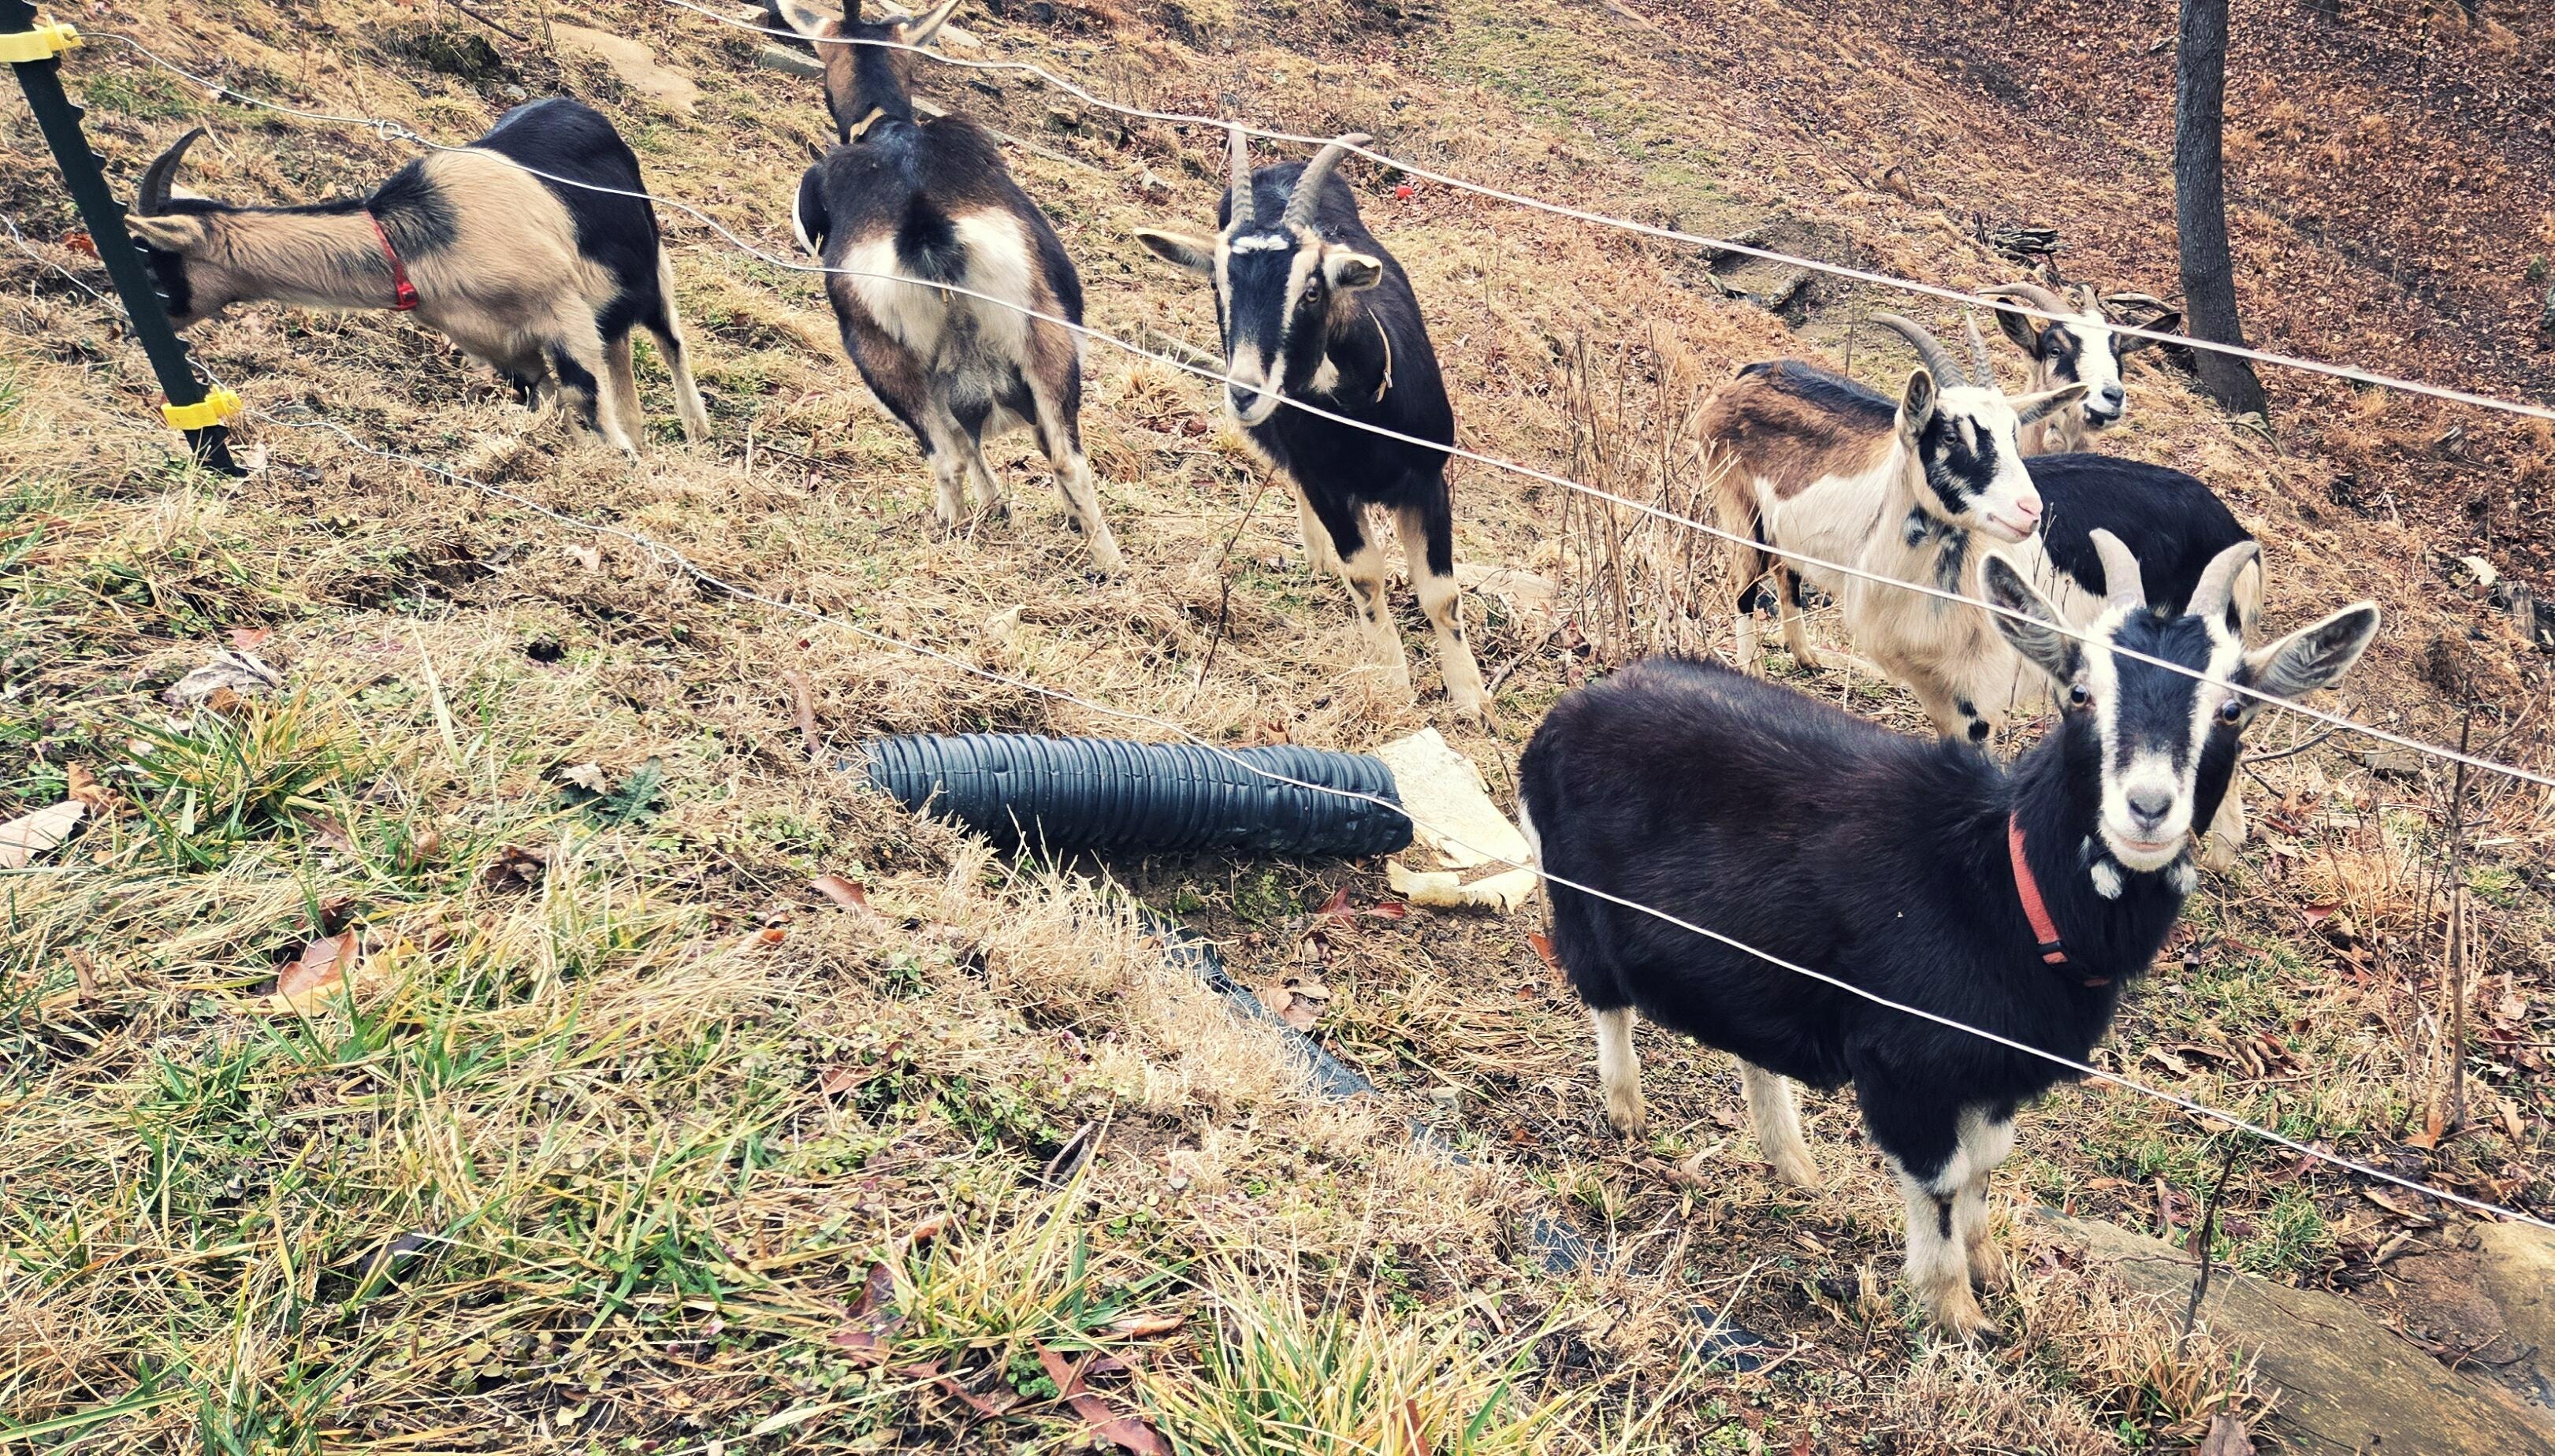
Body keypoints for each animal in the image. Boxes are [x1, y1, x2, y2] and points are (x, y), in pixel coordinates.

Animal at [124, 100, 708, 455]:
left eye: (151, 263)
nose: (139, 326)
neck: (417, 240)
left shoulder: (562, 312)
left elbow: (584, 399)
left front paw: (619, 465)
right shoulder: (499, 344)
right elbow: (548, 403)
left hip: (651, 265)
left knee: (670, 341)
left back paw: (697, 435)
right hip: (607, 304)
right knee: (620, 349)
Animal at [776, 0, 1122, 573]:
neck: (887, 129)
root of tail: (925, 223)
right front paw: (1003, 505)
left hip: (887, 355)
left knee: (962, 454)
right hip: (1024, 344)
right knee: (1027, 455)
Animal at [1135, 130, 1487, 720]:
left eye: (1313, 290)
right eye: (1218, 289)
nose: (1245, 393)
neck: (1363, 419)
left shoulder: (1428, 480)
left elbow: (1442, 594)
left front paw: (1472, 698)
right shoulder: (1328, 485)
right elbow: (1365, 577)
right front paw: (1391, 681)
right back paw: (1320, 556)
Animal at [1517, 533, 2379, 1339]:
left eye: (2233, 709)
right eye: (2078, 692)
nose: (2146, 808)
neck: (2001, 884)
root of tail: (1571, 708)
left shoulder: (1997, 1071)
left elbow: (1984, 1167)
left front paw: (1990, 1264)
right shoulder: (1906, 1063)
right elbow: (1937, 1179)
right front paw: (1952, 1308)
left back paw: (1793, 1163)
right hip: (1578, 903)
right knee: (1605, 1000)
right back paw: (1627, 1111)